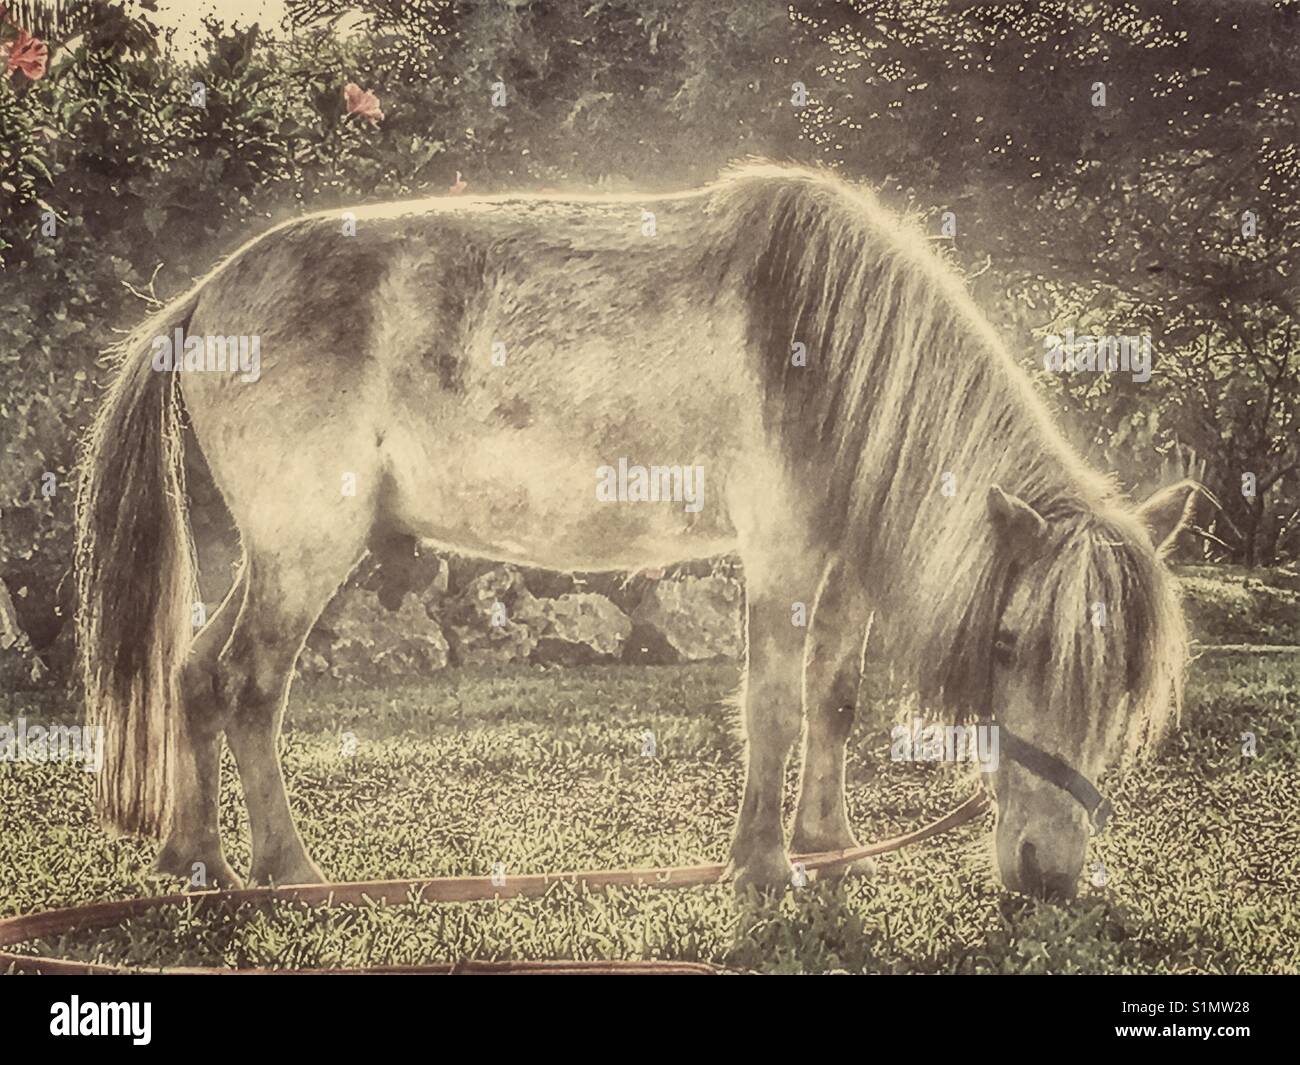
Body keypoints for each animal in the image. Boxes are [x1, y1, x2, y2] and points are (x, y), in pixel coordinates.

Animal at [76, 162, 1195, 899]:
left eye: (1122, 685)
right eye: (1008, 645)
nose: (1048, 876)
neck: (821, 344)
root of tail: (202, 299)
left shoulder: (841, 566)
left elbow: (832, 699)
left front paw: (824, 841)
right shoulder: (782, 552)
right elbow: (773, 706)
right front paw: (762, 865)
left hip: (264, 558)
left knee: (194, 674)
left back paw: (197, 858)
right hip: (305, 556)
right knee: (247, 687)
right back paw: (288, 870)